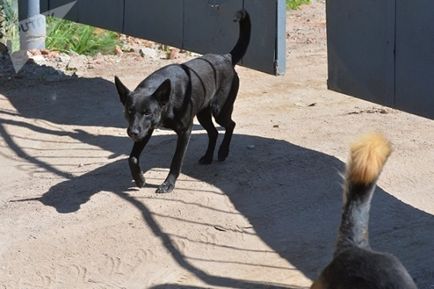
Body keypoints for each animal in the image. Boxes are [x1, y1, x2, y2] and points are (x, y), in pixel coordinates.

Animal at [115, 10, 251, 192]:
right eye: (129, 111)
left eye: (147, 113)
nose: (132, 133)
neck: (167, 101)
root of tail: (226, 58)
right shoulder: (146, 130)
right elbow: (132, 158)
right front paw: (140, 179)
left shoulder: (185, 131)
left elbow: (176, 160)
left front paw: (168, 184)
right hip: (203, 114)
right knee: (214, 132)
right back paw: (208, 156)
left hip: (219, 110)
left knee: (230, 125)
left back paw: (223, 151)